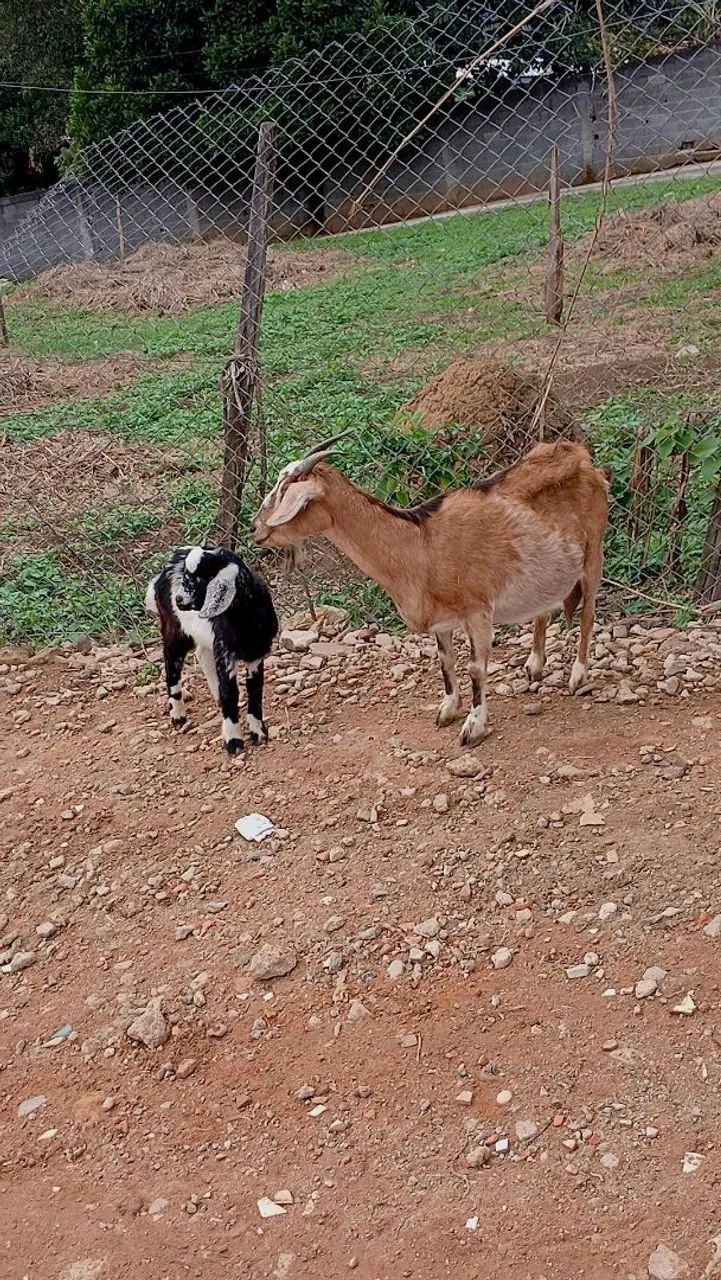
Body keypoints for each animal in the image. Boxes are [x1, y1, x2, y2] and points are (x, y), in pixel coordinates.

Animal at [145, 546, 278, 754]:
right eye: (186, 576)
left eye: (200, 578)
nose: (179, 599)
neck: (245, 619)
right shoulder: (225, 653)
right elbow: (230, 692)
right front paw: (233, 741)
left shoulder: (256, 654)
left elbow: (255, 691)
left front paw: (259, 733)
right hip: (174, 629)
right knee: (170, 664)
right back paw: (178, 716)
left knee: (201, 653)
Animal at [251, 436, 609, 747]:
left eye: (286, 494)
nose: (256, 529)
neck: (421, 544)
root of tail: (583, 457)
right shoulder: (442, 619)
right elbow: (445, 660)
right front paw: (448, 709)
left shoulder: (478, 610)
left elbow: (475, 667)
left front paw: (474, 727)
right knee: (544, 607)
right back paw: (534, 664)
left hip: (594, 553)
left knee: (588, 614)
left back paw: (578, 675)